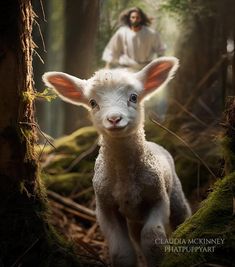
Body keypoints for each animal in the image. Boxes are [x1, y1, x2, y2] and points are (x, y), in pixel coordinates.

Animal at [42, 57, 191, 267]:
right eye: (93, 102)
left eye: (134, 97)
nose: (114, 119)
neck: (125, 178)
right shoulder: (105, 207)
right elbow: (122, 252)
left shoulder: (158, 198)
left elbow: (152, 238)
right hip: (135, 216)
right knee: (136, 234)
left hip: (175, 193)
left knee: (182, 215)